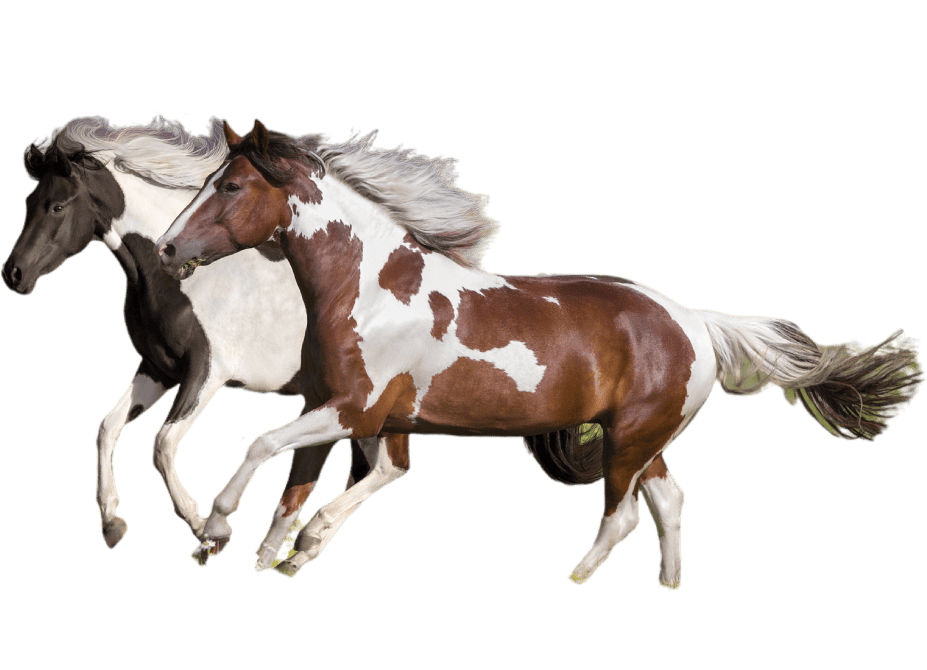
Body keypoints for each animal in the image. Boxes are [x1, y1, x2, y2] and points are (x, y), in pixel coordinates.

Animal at [1, 114, 418, 571]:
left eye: (58, 206)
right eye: (29, 202)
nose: (14, 274)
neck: (179, 279)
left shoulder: (206, 372)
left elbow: (163, 444)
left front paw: (207, 531)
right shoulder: (158, 369)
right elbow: (108, 428)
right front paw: (113, 523)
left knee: (391, 467)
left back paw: (302, 545)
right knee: (378, 468)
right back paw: (299, 554)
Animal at [157, 117, 923, 588]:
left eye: (230, 185)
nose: (167, 249)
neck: (368, 290)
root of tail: (695, 322)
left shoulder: (353, 411)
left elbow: (266, 450)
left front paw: (215, 530)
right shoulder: (346, 413)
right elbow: (303, 491)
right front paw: (273, 558)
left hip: (630, 439)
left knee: (623, 515)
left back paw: (576, 581)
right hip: (639, 435)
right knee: (668, 502)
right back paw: (667, 590)